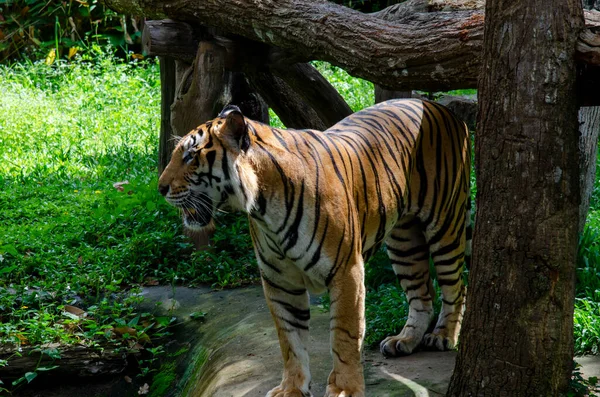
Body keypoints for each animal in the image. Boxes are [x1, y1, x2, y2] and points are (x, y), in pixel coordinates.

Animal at [157, 98, 472, 396]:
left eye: (190, 155)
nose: (160, 188)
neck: (263, 206)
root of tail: (440, 107)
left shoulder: (347, 271)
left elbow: (344, 335)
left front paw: (345, 388)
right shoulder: (279, 280)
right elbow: (290, 339)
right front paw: (291, 389)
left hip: (445, 223)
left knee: (456, 286)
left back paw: (442, 336)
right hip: (404, 240)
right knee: (422, 293)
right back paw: (404, 340)